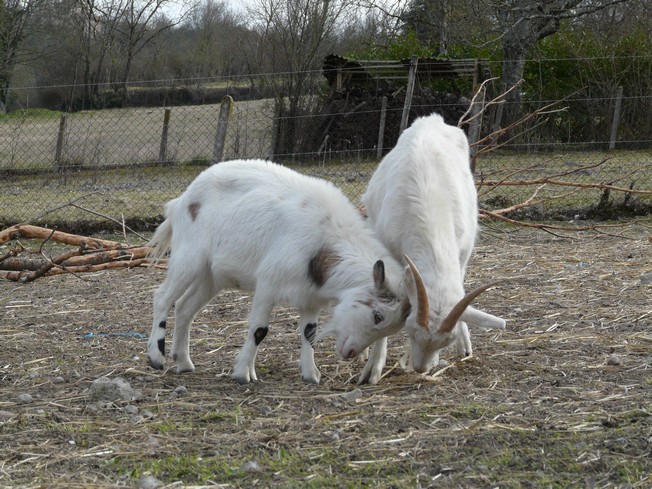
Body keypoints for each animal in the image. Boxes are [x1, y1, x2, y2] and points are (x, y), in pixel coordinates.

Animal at [146, 158, 408, 384]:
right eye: (377, 315)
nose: (350, 352)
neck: (322, 243)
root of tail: (181, 201)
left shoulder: (310, 297)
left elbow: (309, 333)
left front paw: (310, 375)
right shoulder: (268, 285)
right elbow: (259, 330)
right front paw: (243, 373)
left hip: (211, 277)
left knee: (185, 307)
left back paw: (184, 362)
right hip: (189, 258)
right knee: (162, 297)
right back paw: (156, 357)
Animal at [318, 112, 506, 384]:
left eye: (444, 342)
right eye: (410, 330)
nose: (419, 368)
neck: (430, 199)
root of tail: (433, 118)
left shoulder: (463, 248)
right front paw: (373, 369)